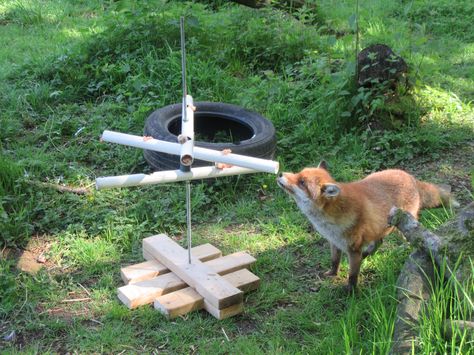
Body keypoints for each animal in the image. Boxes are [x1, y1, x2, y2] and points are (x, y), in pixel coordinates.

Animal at [276, 161, 458, 292]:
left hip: (401, 225)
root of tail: (410, 176)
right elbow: (334, 261)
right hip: (381, 226)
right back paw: (368, 253)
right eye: (298, 173)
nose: (279, 173)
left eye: (301, 182)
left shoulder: (353, 249)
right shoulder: (334, 242)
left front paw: (350, 292)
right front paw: (332, 274)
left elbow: (352, 275)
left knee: (407, 240)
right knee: (379, 241)